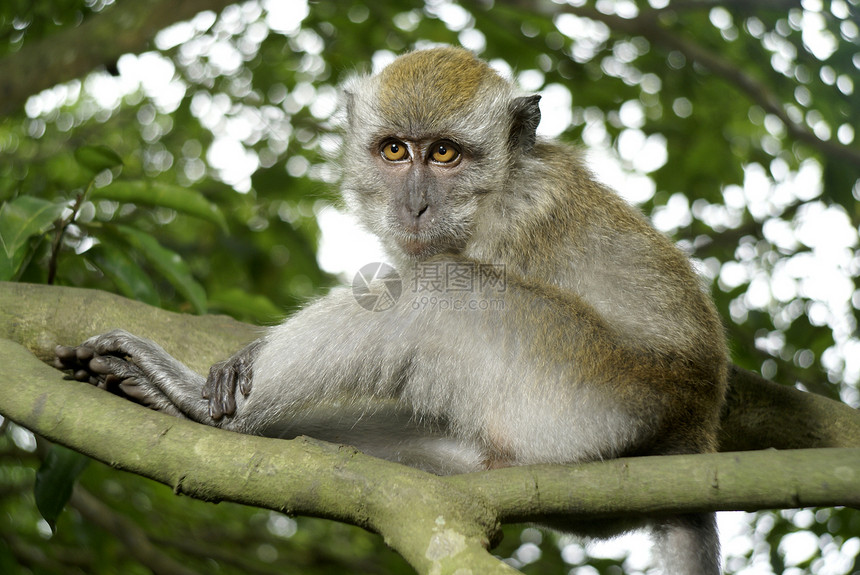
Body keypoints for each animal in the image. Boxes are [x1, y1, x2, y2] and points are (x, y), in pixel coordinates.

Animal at [55, 47, 724, 572]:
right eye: (396, 150)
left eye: (446, 154)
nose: (415, 207)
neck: (498, 188)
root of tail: (692, 435)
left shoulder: (514, 230)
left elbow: (424, 283)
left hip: (585, 400)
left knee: (428, 296)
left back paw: (195, 400)